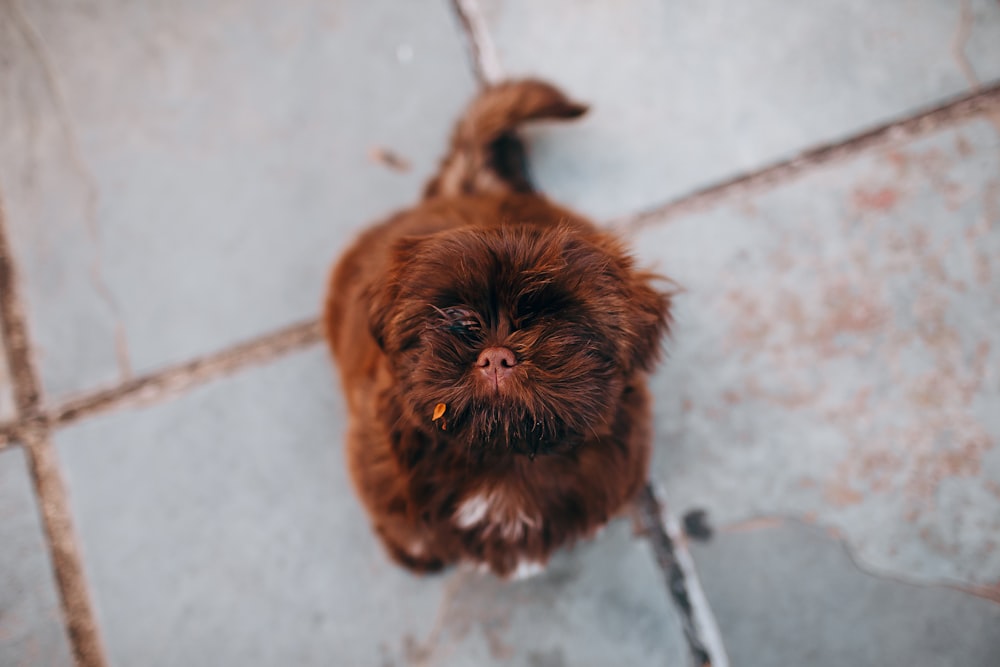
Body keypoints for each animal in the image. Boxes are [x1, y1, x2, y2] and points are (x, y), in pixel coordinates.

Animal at [326, 79, 672, 580]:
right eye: (456, 318)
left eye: (557, 321)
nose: (497, 355)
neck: (505, 465)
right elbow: (408, 527)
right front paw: (415, 551)